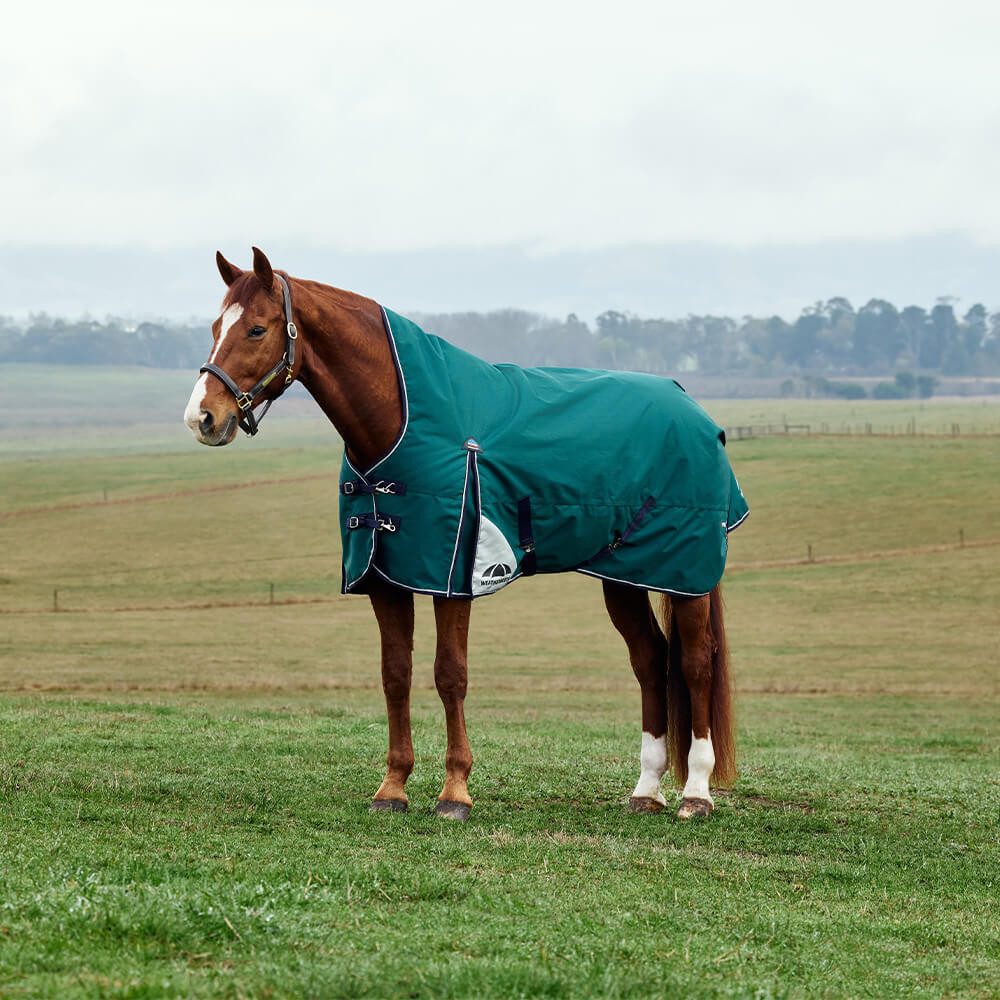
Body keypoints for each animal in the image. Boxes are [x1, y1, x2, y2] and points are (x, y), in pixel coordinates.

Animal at [184, 247, 747, 821]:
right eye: (214, 328)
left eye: (256, 329)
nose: (202, 417)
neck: (401, 419)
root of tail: (693, 408)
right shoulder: (387, 579)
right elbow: (395, 674)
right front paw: (393, 787)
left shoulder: (454, 576)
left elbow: (449, 674)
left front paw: (454, 791)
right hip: (625, 575)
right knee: (650, 660)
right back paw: (647, 789)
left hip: (686, 575)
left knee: (695, 663)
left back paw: (695, 793)